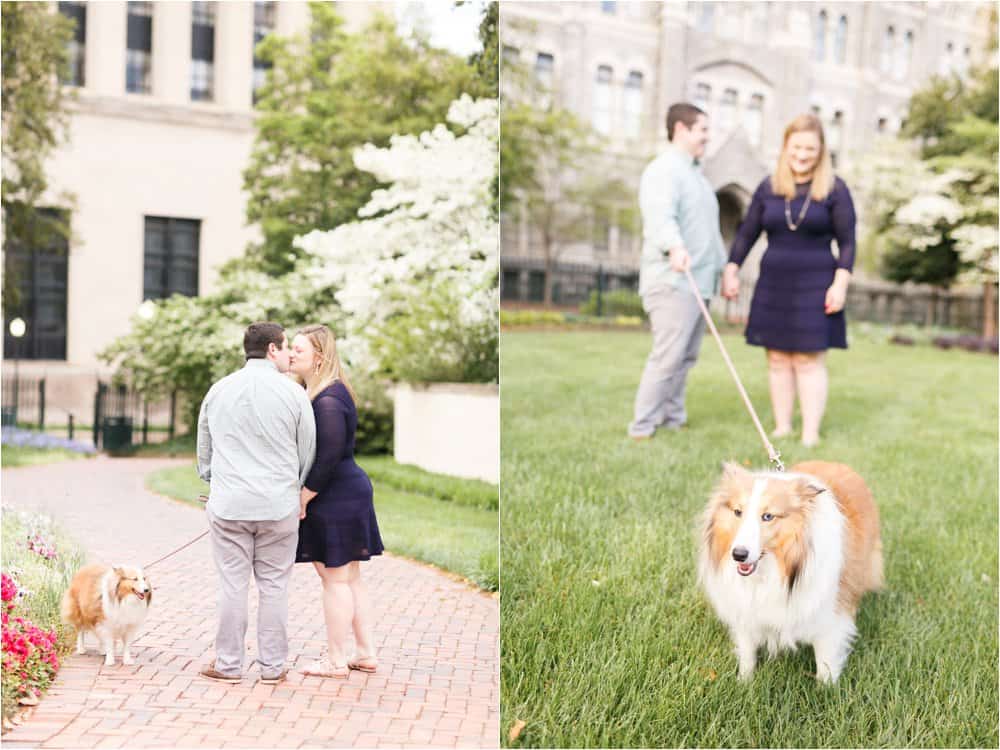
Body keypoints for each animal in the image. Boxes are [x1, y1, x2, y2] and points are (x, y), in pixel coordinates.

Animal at [696, 462, 884, 684]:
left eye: (768, 516)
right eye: (737, 512)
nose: (738, 555)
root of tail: (837, 463)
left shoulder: (829, 618)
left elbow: (825, 661)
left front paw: (826, 688)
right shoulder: (745, 610)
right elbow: (748, 650)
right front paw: (744, 680)